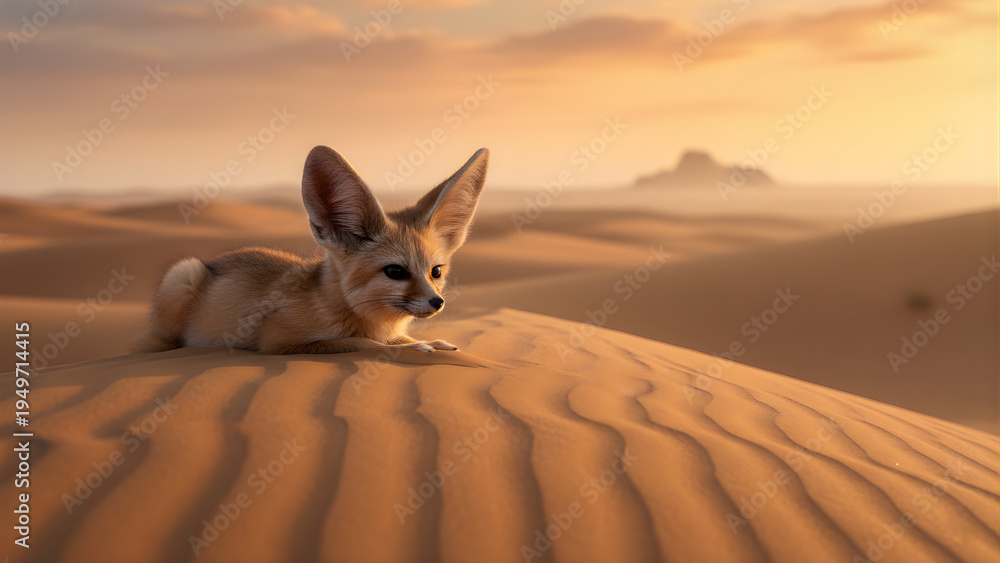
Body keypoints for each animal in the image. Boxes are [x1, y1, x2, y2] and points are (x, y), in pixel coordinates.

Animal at [135, 145, 488, 355]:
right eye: (395, 272)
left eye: (436, 272)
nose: (437, 302)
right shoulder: (277, 339)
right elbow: (363, 343)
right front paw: (411, 349)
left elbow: (394, 339)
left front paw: (429, 342)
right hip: (183, 275)